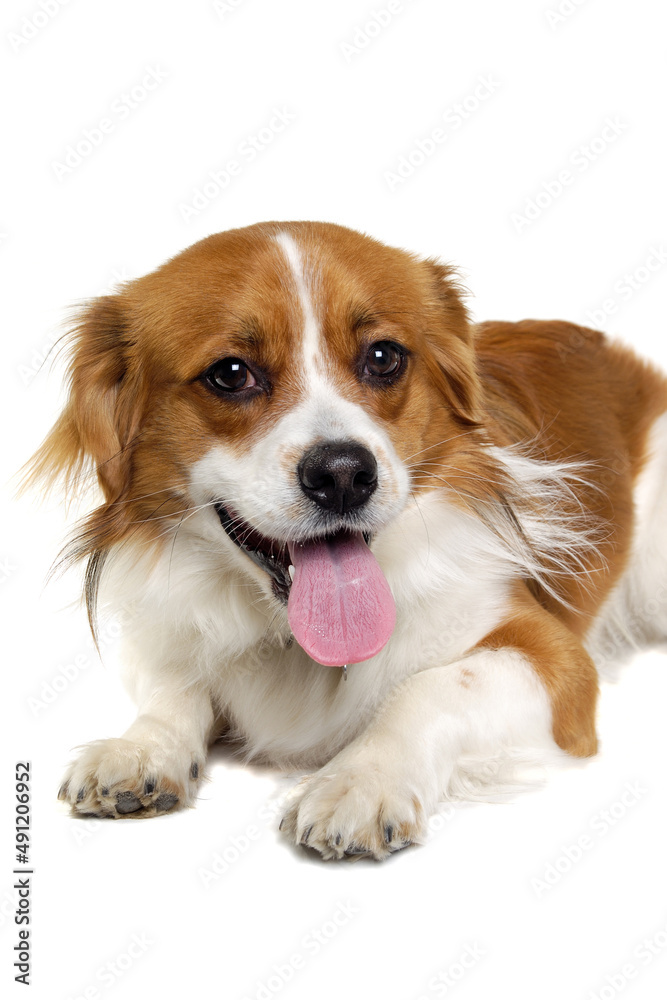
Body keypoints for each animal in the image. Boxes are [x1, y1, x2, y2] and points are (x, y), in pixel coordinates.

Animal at [28, 221, 667, 860]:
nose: (341, 474)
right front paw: (142, 749)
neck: (293, 637)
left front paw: (362, 781)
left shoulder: (556, 661)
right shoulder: (162, 632)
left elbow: (429, 688)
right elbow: (173, 683)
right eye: (230, 373)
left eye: (383, 357)